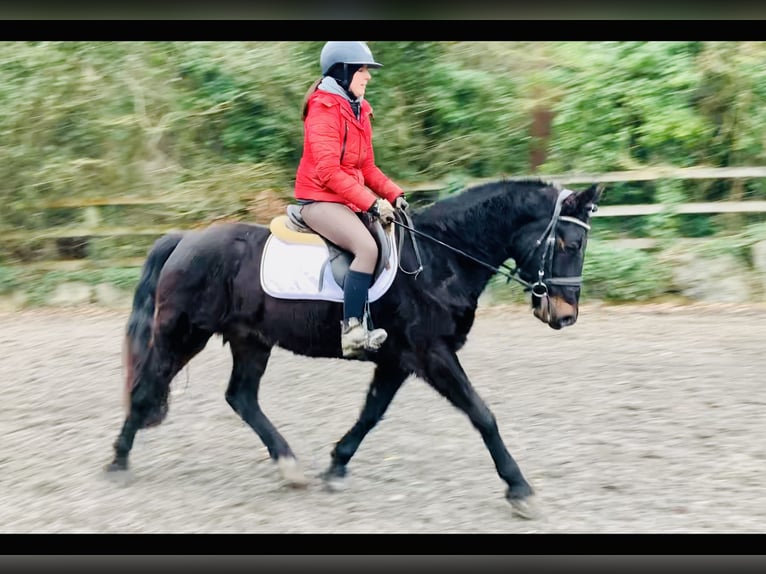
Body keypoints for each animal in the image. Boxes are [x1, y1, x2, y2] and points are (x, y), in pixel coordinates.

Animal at [105, 178, 608, 520]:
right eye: (571, 242)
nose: (565, 315)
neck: (440, 260)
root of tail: (184, 240)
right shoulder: (431, 354)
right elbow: (482, 414)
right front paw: (520, 490)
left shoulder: (398, 361)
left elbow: (370, 414)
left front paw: (335, 467)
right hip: (183, 334)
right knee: (148, 389)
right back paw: (117, 463)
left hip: (251, 340)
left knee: (241, 397)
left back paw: (290, 466)